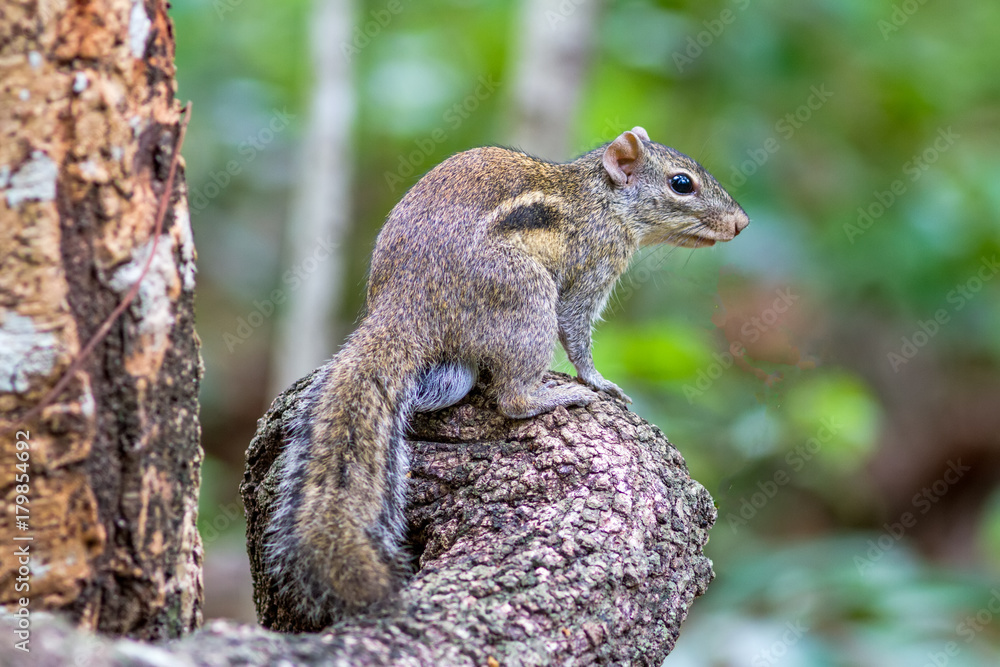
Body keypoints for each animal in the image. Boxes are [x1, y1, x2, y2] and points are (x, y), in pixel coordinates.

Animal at [262, 126, 748, 632]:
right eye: (681, 183)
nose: (741, 222)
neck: (602, 198)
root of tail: (405, 304)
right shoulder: (593, 266)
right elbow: (576, 329)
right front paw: (597, 381)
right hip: (525, 299)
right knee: (511, 399)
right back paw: (551, 397)